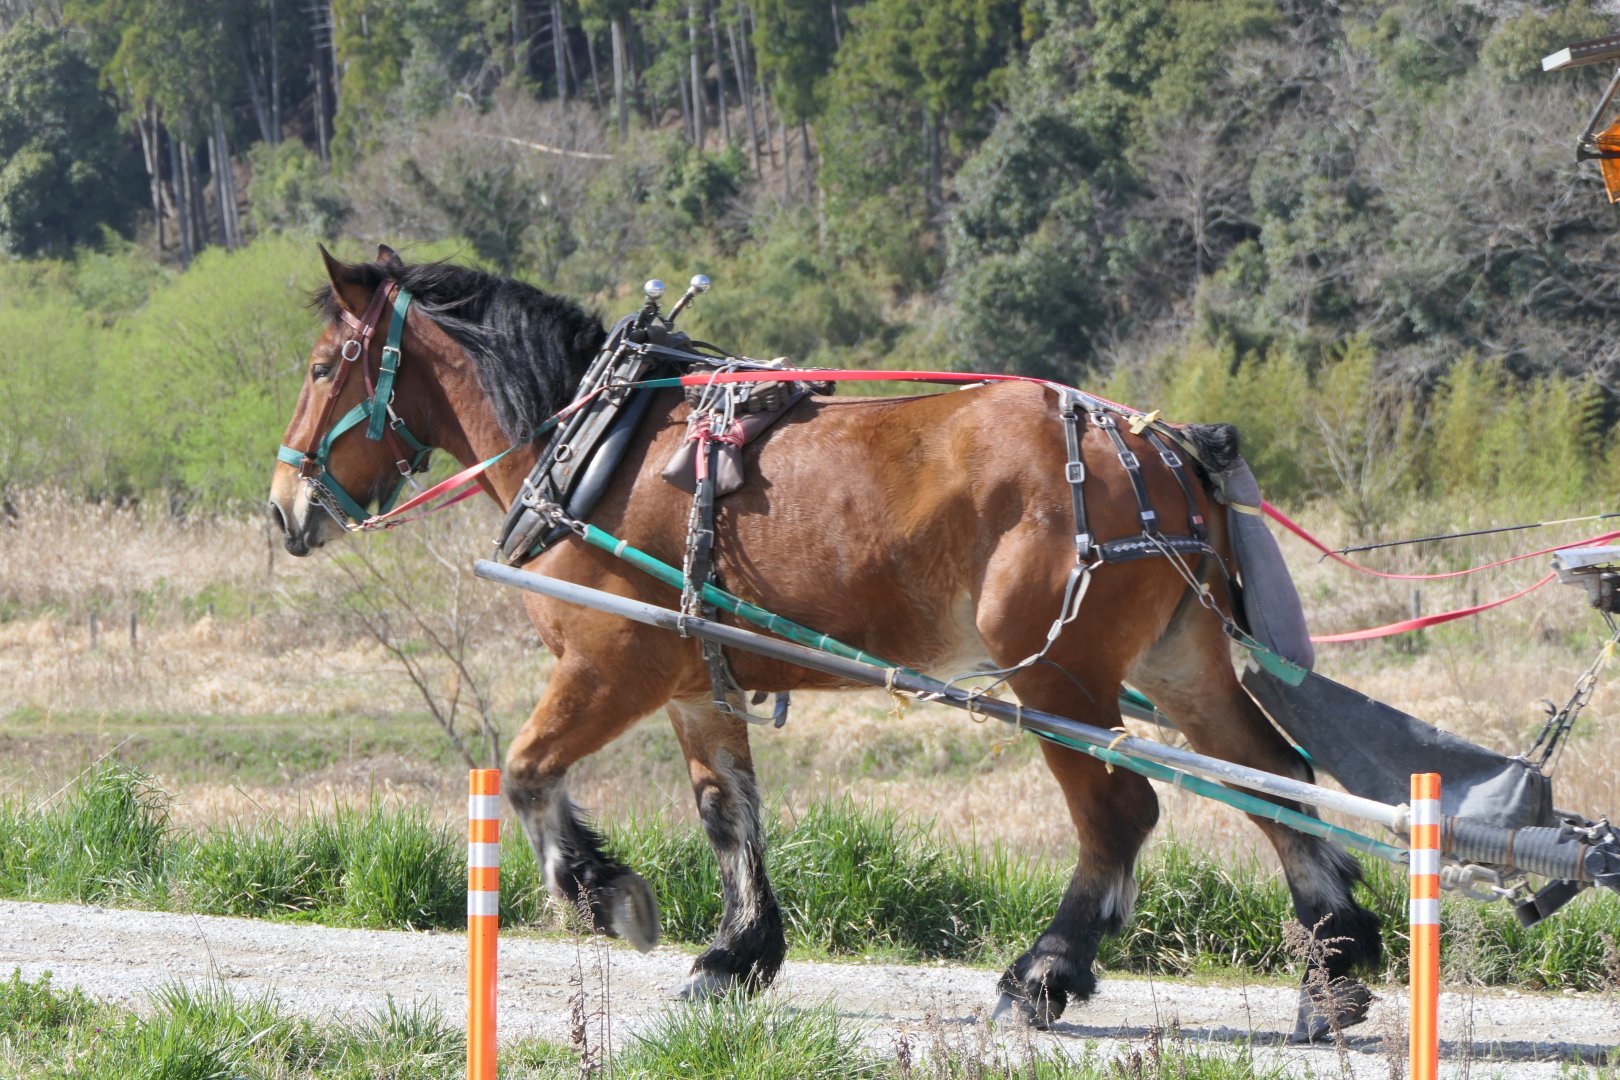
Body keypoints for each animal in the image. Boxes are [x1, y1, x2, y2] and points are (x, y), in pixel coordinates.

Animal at [267, 245, 1382, 1039]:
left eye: (324, 367)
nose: (283, 508)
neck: (598, 447)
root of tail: (1160, 446)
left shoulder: (610, 665)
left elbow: (527, 771)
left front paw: (607, 895)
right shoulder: (695, 680)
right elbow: (727, 814)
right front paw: (737, 956)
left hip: (1058, 678)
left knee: (1123, 812)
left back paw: (1042, 976)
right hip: (1176, 663)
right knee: (1277, 783)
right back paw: (1331, 973)